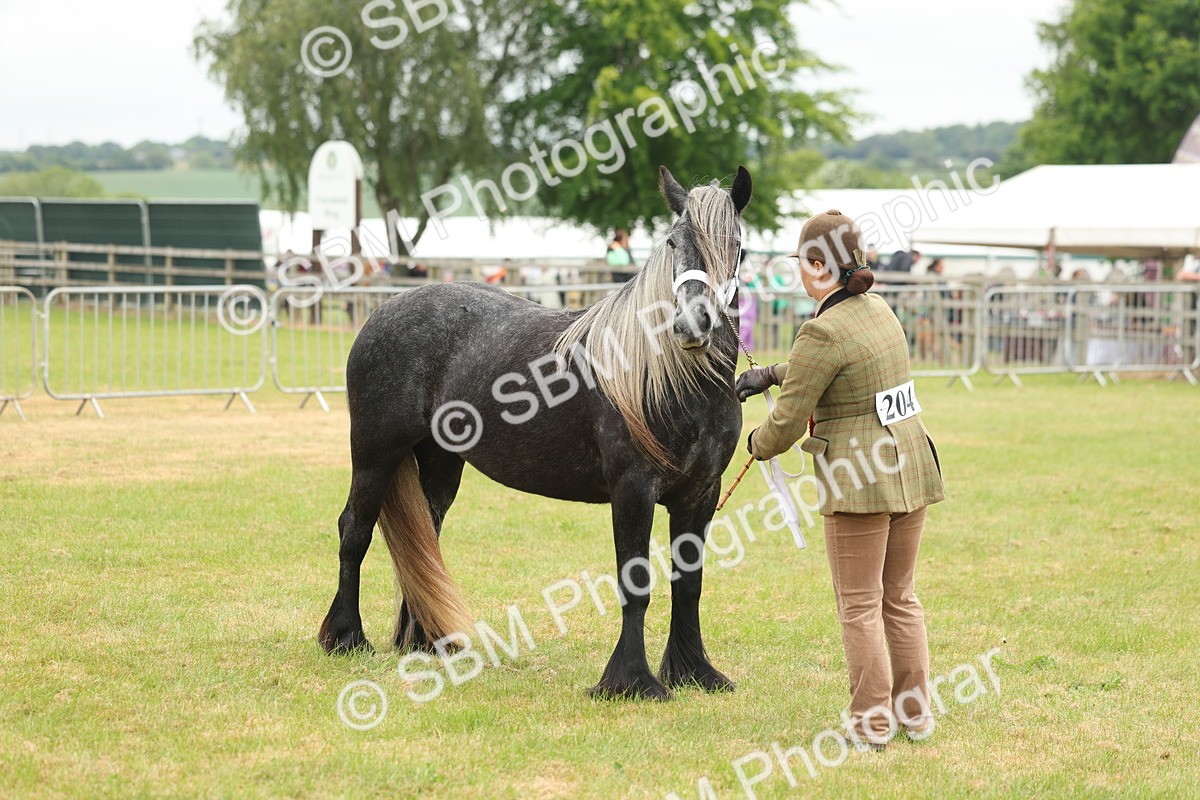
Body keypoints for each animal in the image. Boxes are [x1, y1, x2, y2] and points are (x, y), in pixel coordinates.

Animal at [318, 165, 752, 700]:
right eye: (673, 242)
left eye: (738, 247)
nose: (692, 325)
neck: (669, 377)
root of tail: (383, 311)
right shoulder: (633, 490)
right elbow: (636, 585)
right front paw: (630, 681)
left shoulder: (700, 494)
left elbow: (687, 585)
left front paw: (694, 672)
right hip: (375, 453)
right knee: (354, 529)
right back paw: (346, 638)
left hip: (439, 463)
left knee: (424, 541)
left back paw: (428, 643)